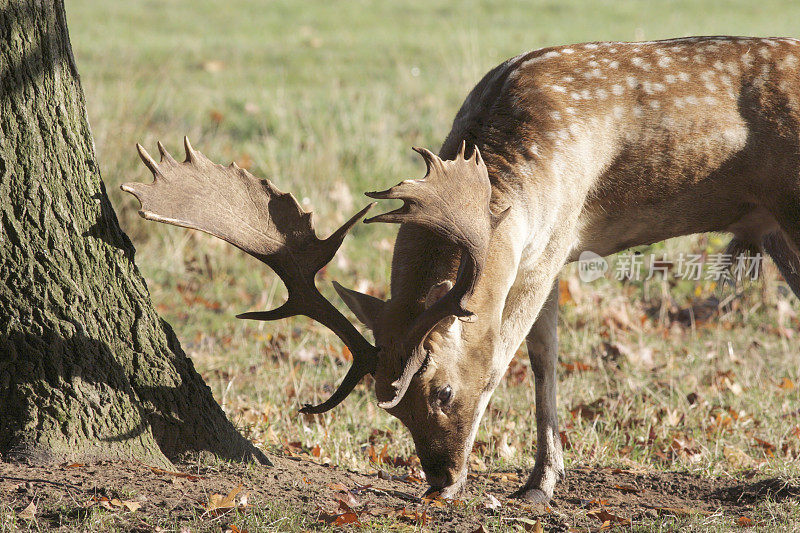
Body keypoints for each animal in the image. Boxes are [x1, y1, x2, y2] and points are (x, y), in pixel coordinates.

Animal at [123, 35, 800, 500]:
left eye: (443, 390)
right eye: (389, 408)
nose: (440, 481)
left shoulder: (556, 240)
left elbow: (513, 353)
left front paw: (536, 481)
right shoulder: (551, 252)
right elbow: (545, 353)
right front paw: (541, 479)